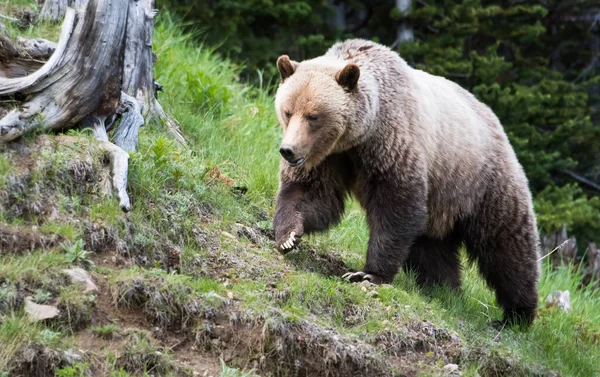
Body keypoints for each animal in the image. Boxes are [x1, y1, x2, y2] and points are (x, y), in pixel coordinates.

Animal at [274, 39, 540, 326]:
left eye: (313, 116)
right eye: (288, 111)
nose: (288, 150)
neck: (357, 136)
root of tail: (496, 121)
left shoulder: (391, 143)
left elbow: (395, 206)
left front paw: (367, 274)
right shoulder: (330, 158)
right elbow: (311, 194)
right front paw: (288, 236)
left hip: (481, 181)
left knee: (506, 247)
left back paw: (517, 314)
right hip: (442, 197)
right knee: (432, 249)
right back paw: (443, 289)